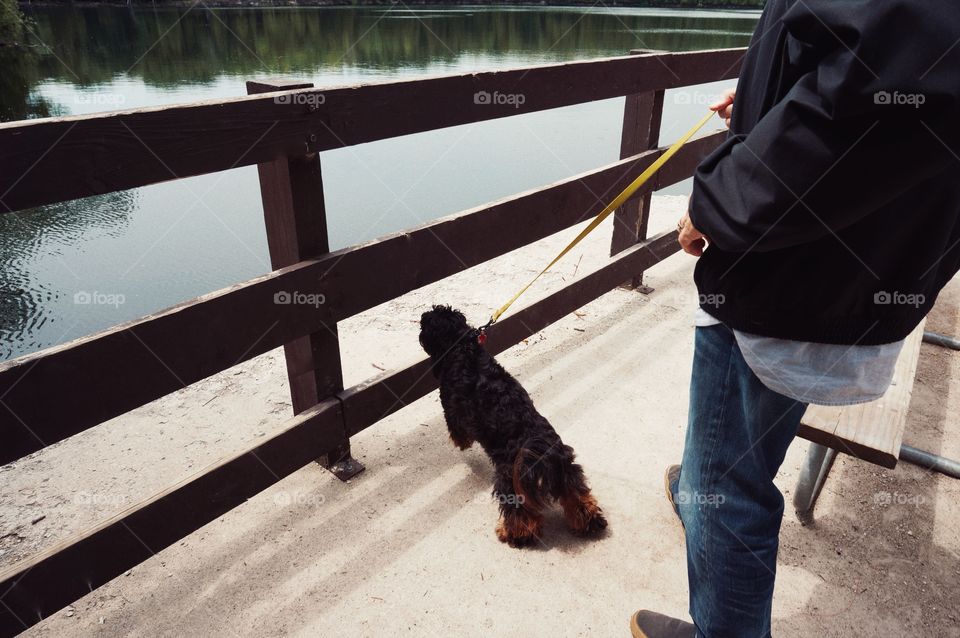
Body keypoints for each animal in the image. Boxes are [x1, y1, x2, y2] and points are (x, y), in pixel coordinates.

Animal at [420, 308, 608, 548]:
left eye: (424, 325)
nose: (422, 317)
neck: (465, 350)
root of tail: (542, 454)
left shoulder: (452, 411)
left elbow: (457, 432)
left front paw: (460, 443)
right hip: (568, 473)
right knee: (578, 500)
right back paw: (589, 523)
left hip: (509, 483)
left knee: (521, 517)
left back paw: (511, 534)